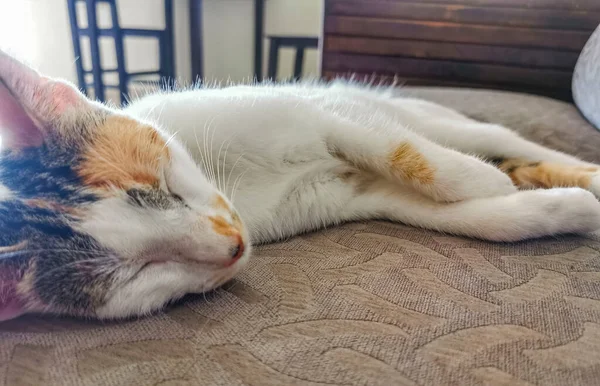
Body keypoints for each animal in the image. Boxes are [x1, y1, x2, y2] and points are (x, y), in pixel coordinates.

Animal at [1, 49, 600, 322]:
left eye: (164, 184)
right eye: (141, 271)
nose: (233, 244)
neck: (236, 184)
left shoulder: (321, 113)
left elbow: (405, 153)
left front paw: (481, 176)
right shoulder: (354, 195)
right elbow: (473, 217)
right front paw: (557, 209)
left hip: (425, 114)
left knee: (495, 137)